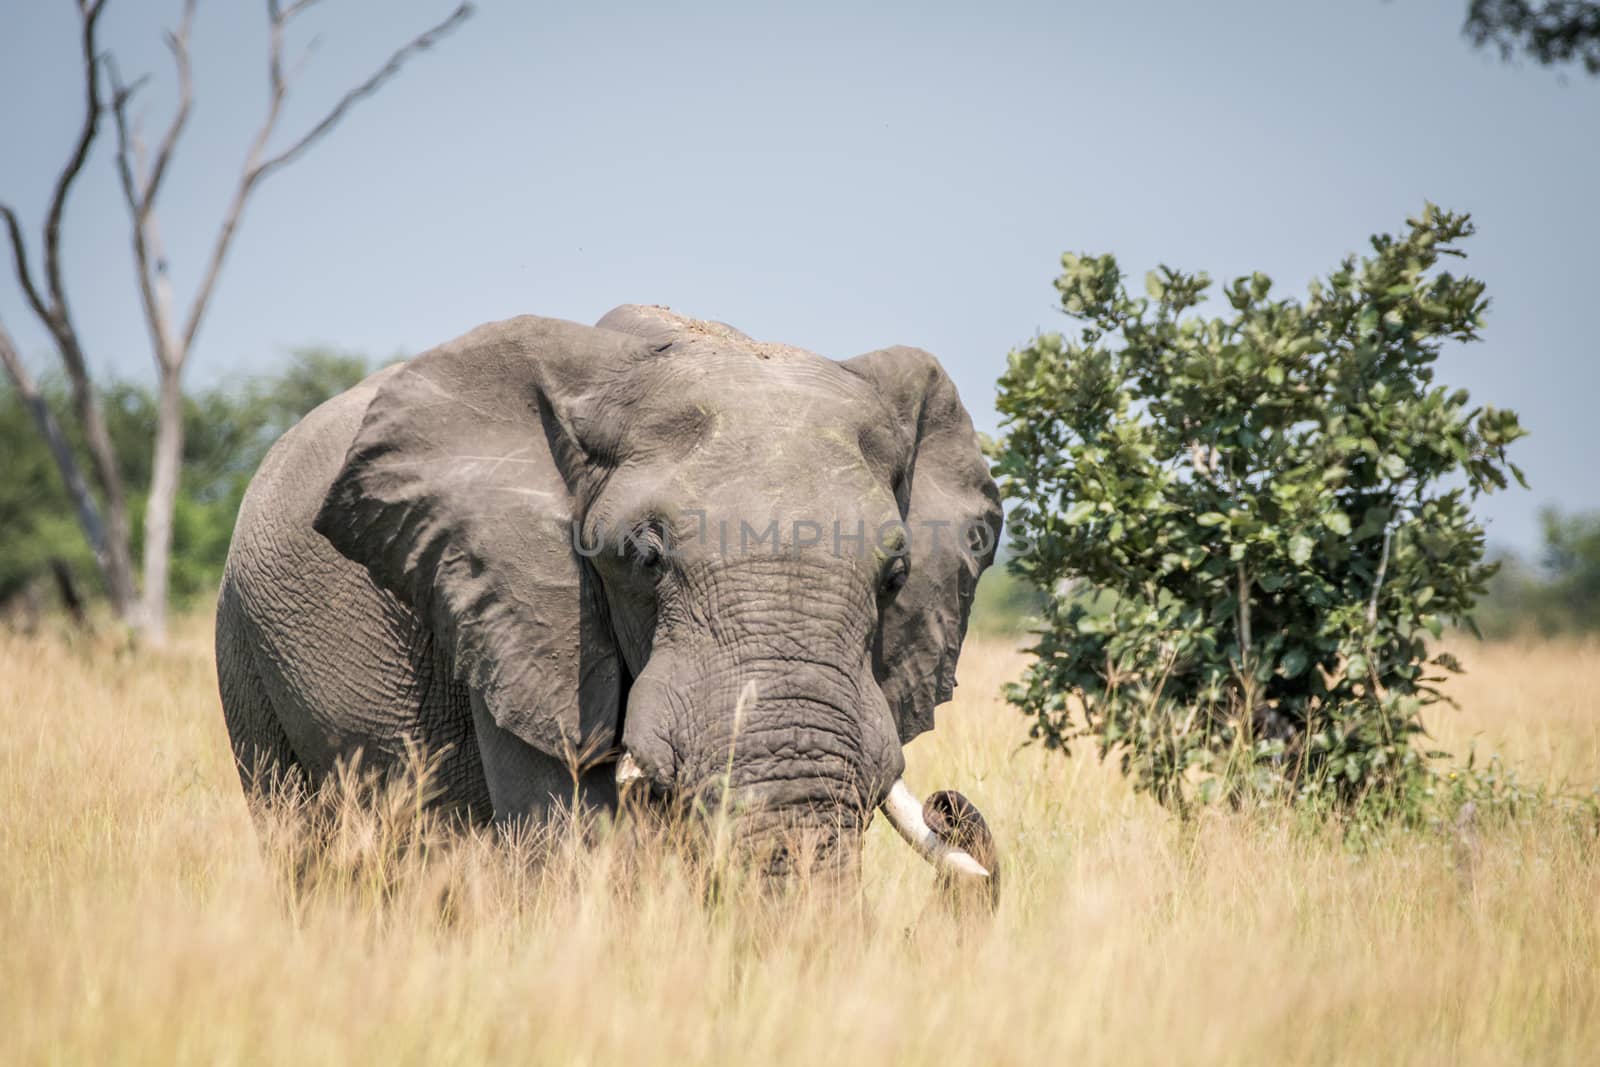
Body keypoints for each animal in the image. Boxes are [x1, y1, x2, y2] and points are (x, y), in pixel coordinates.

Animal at [216, 302, 998, 895]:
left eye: (895, 577)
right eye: (643, 559)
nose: (950, 805)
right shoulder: (516, 617)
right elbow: (573, 839)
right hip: (247, 647)